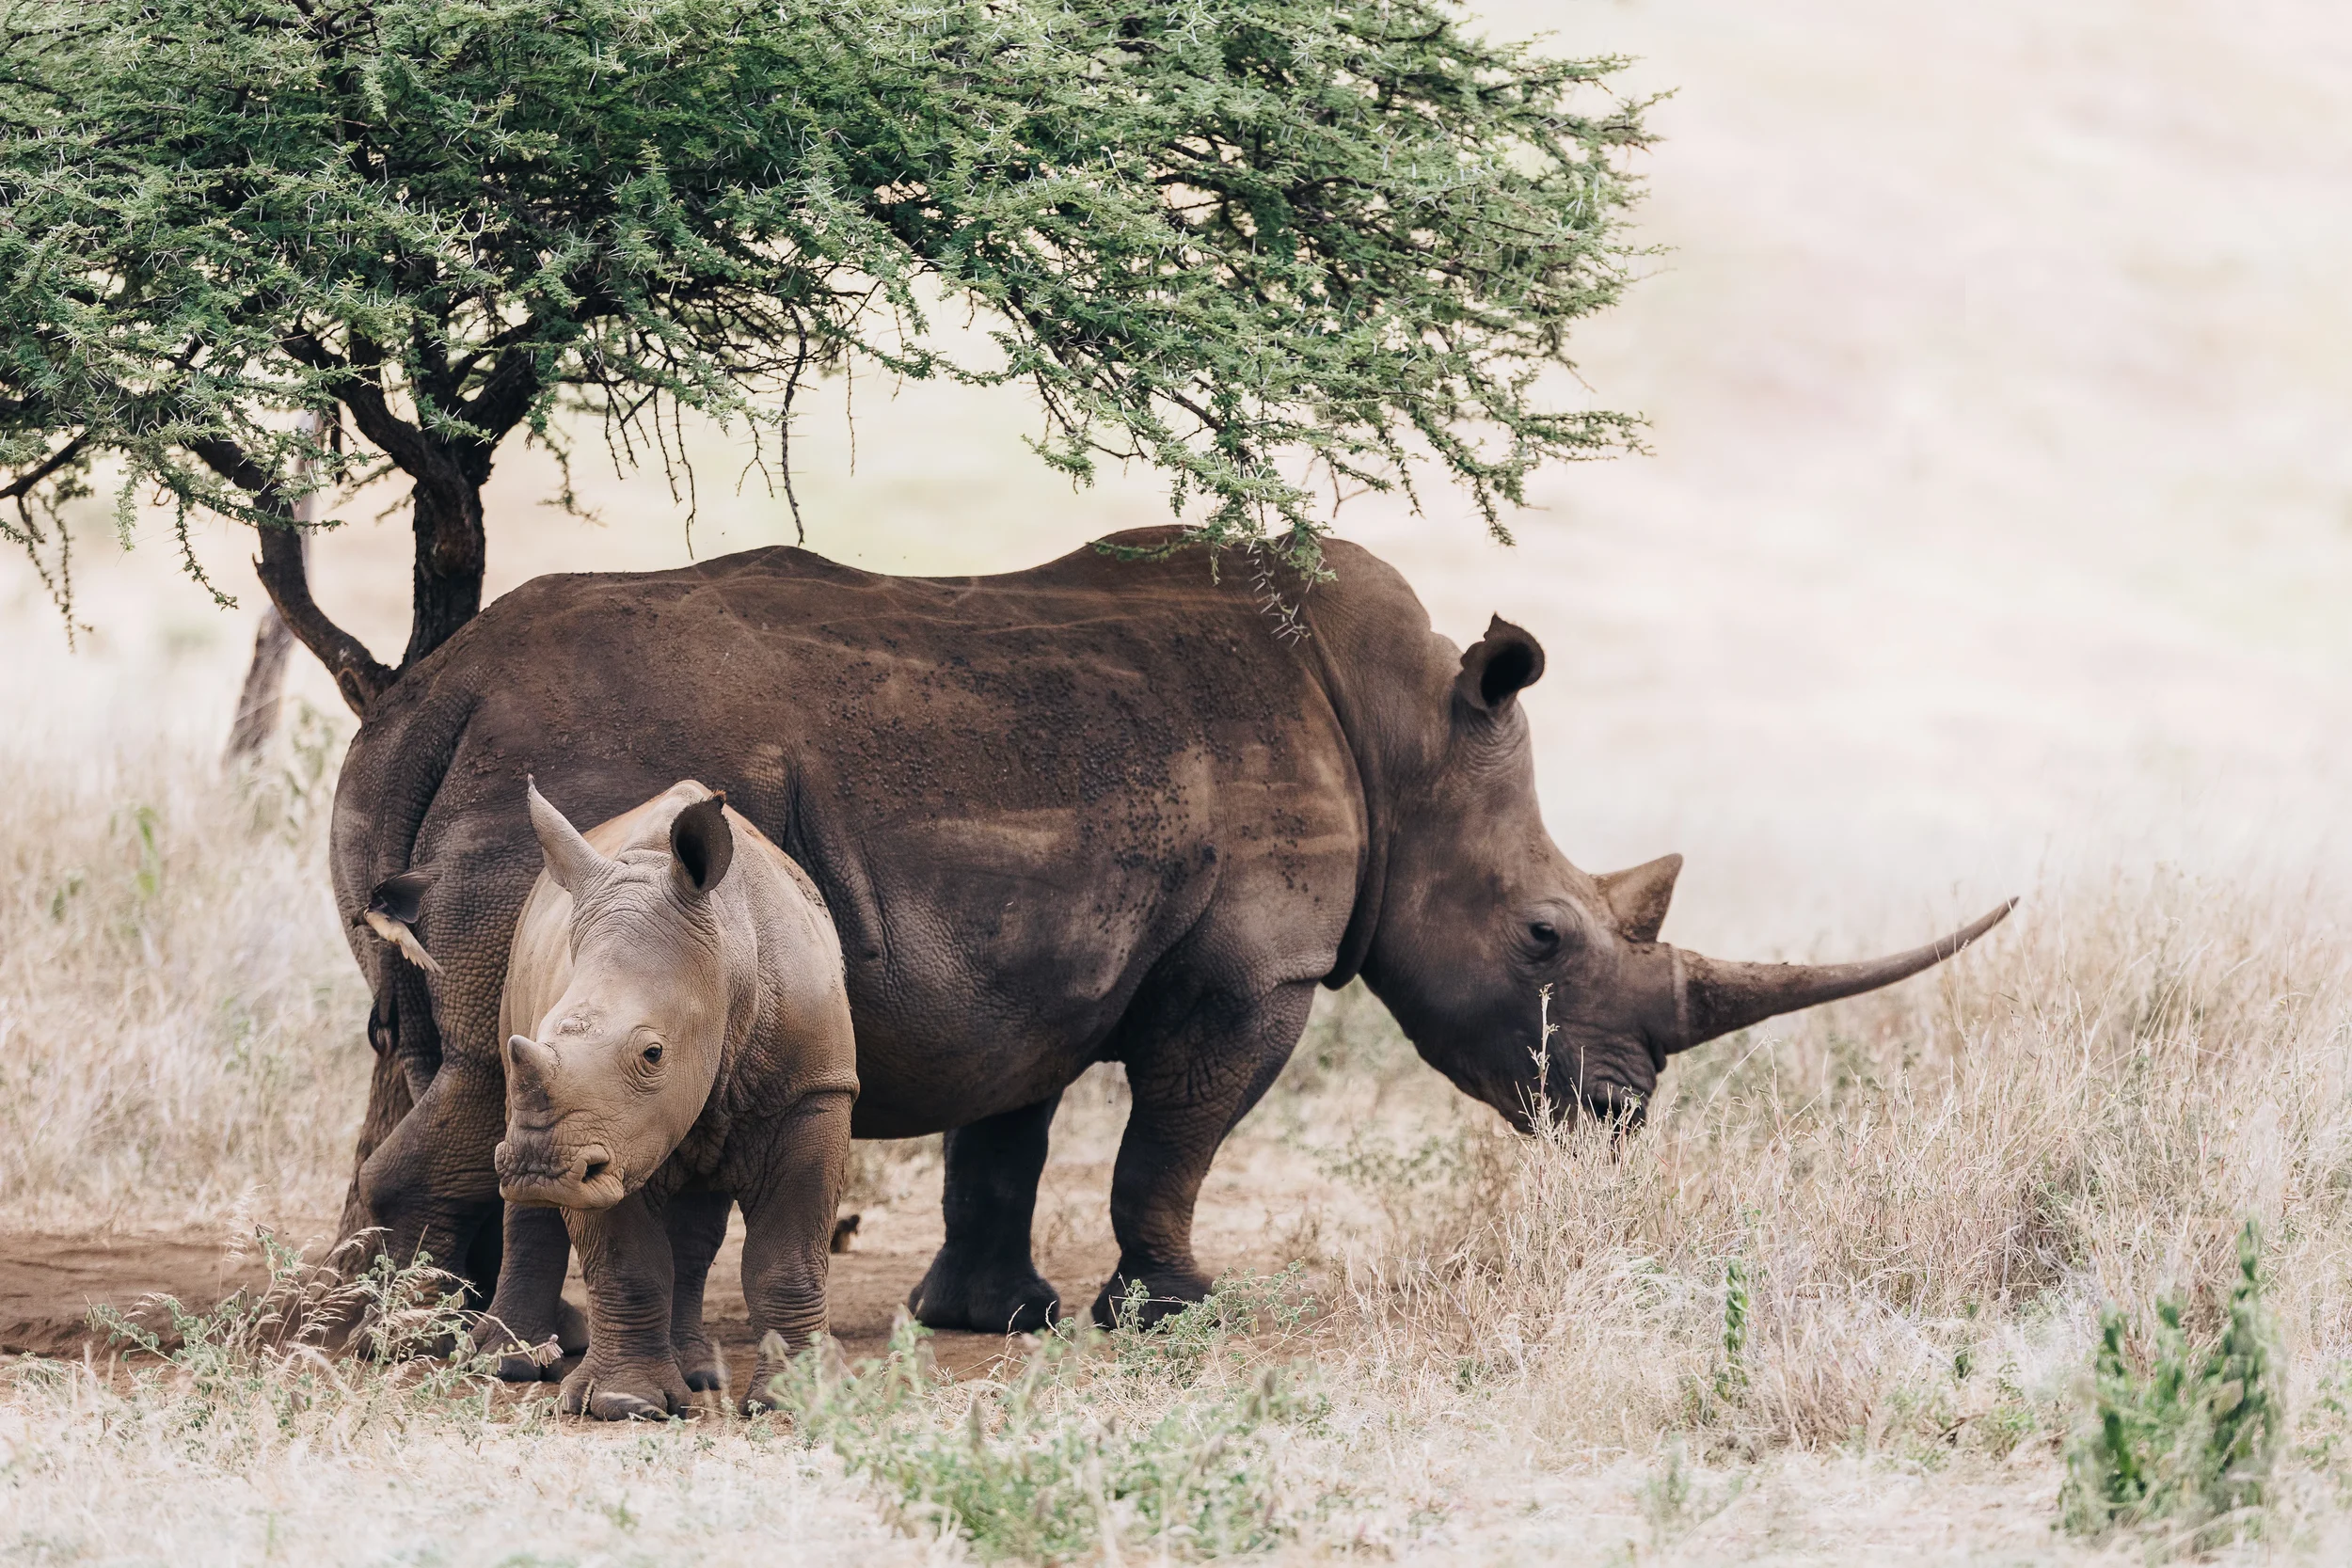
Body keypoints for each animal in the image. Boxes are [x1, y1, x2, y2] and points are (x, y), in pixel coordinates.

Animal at [335, 527, 2010, 1344]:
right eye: (1544, 933)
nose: (1617, 1109)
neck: (1406, 735)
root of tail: (435, 689)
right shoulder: (1250, 967)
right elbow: (1174, 1141)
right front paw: (1177, 1314)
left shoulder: (1012, 960)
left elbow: (1003, 1133)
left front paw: (992, 1318)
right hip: (583, 773)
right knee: (490, 1063)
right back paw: (461, 1343)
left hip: (453, 792)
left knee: (425, 1044)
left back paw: (414, 1325)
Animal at [491, 779, 856, 1417]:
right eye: (539, 1037)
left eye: (653, 1054)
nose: (540, 1170)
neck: (725, 961)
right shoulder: (603, 1136)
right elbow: (628, 1264)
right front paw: (625, 1403)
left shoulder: (814, 1090)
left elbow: (788, 1256)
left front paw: (799, 1401)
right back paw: (509, 1365)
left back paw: (700, 1375)